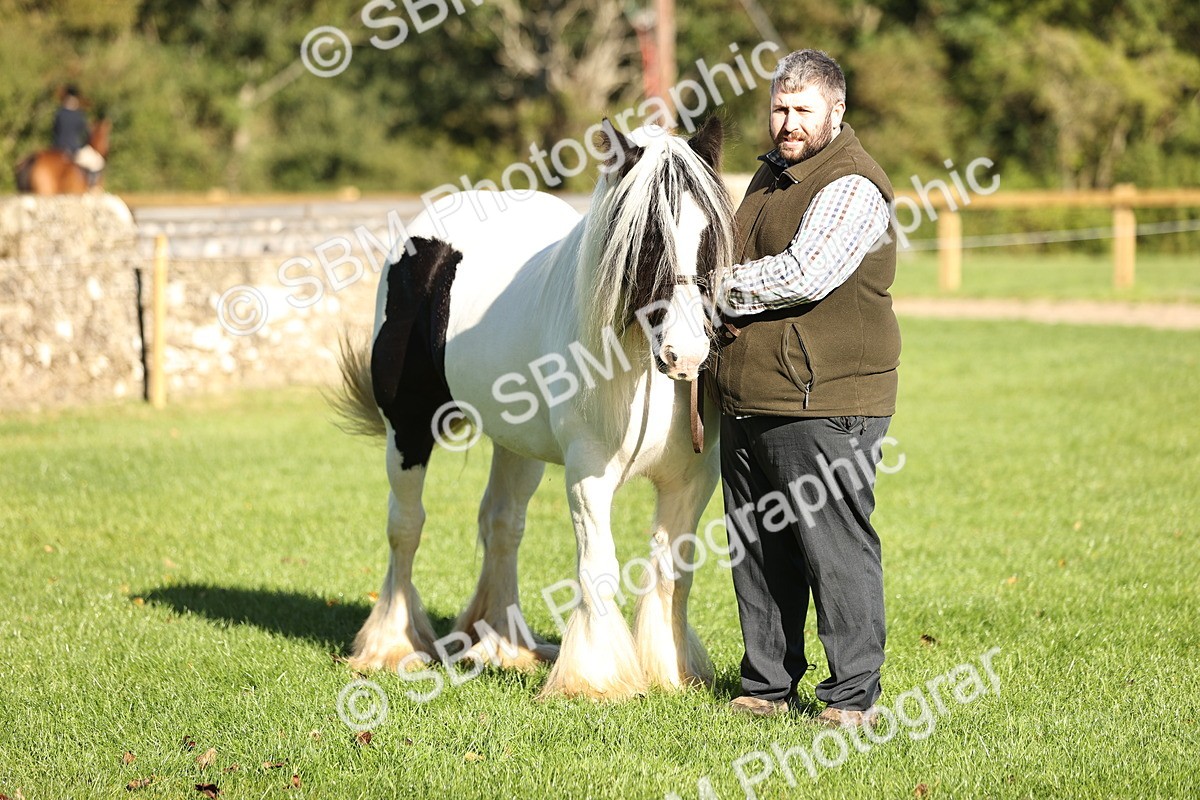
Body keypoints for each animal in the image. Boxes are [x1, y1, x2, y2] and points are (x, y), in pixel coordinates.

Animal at [334, 117, 735, 700]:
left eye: (708, 234)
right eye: (645, 238)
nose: (685, 354)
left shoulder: (691, 481)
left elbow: (672, 571)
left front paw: (671, 671)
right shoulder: (588, 475)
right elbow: (598, 566)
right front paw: (595, 679)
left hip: (515, 445)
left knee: (503, 524)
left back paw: (504, 644)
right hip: (406, 429)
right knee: (405, 526)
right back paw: (392, 645)